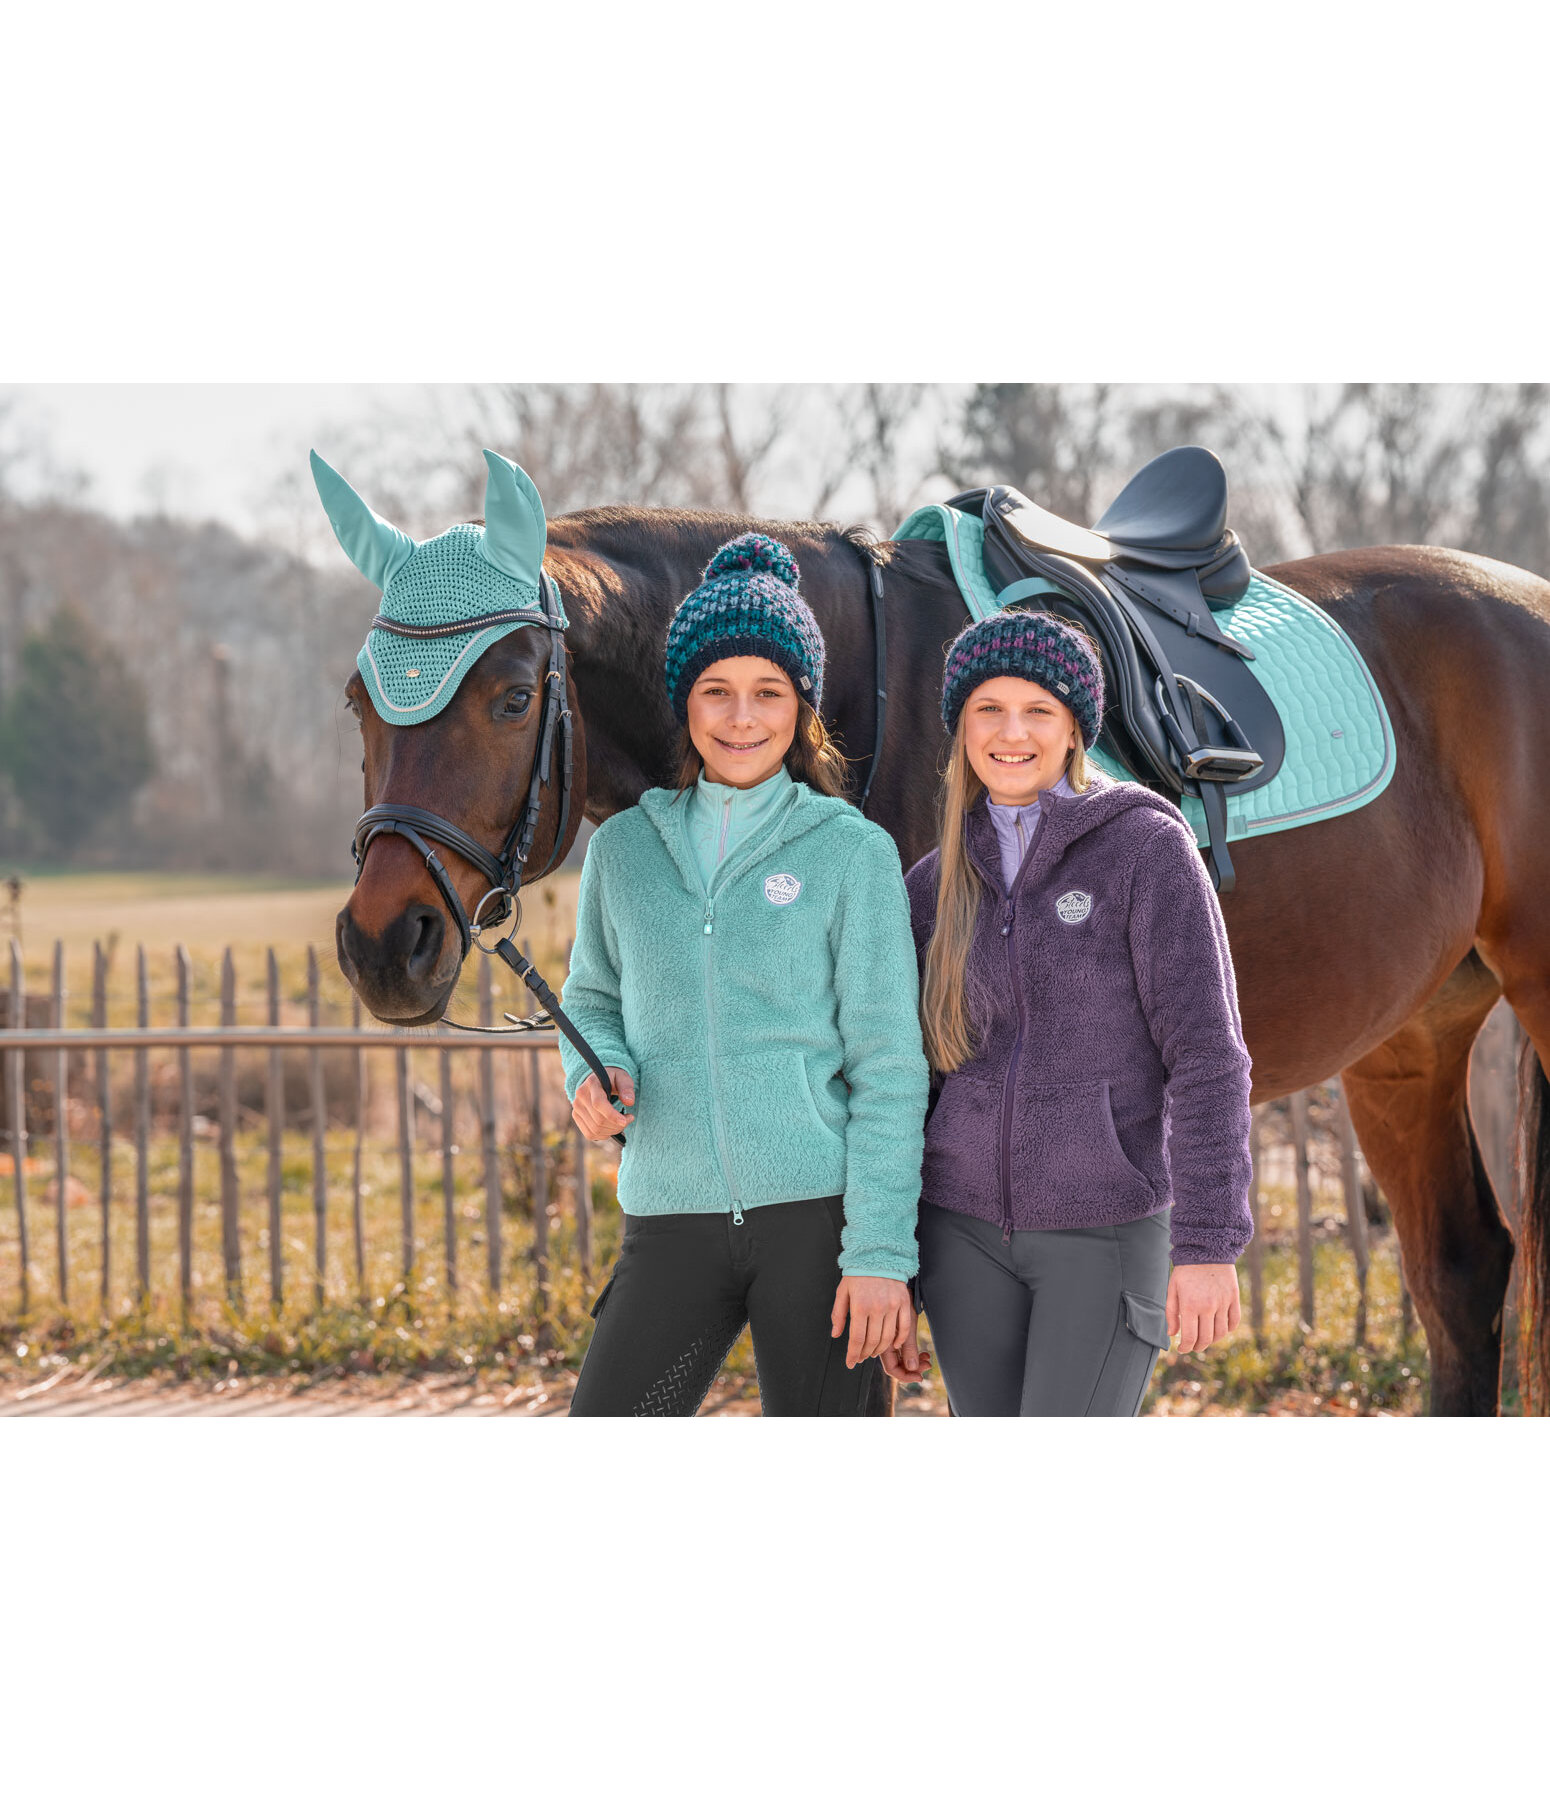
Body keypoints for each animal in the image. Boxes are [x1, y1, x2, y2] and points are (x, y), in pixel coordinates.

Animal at [337, 504, 1550, 1418]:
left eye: (510, 698)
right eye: (358, 703)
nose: (382, 944)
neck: (869, 694)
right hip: (1405, 1046)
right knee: (1460, 1281)